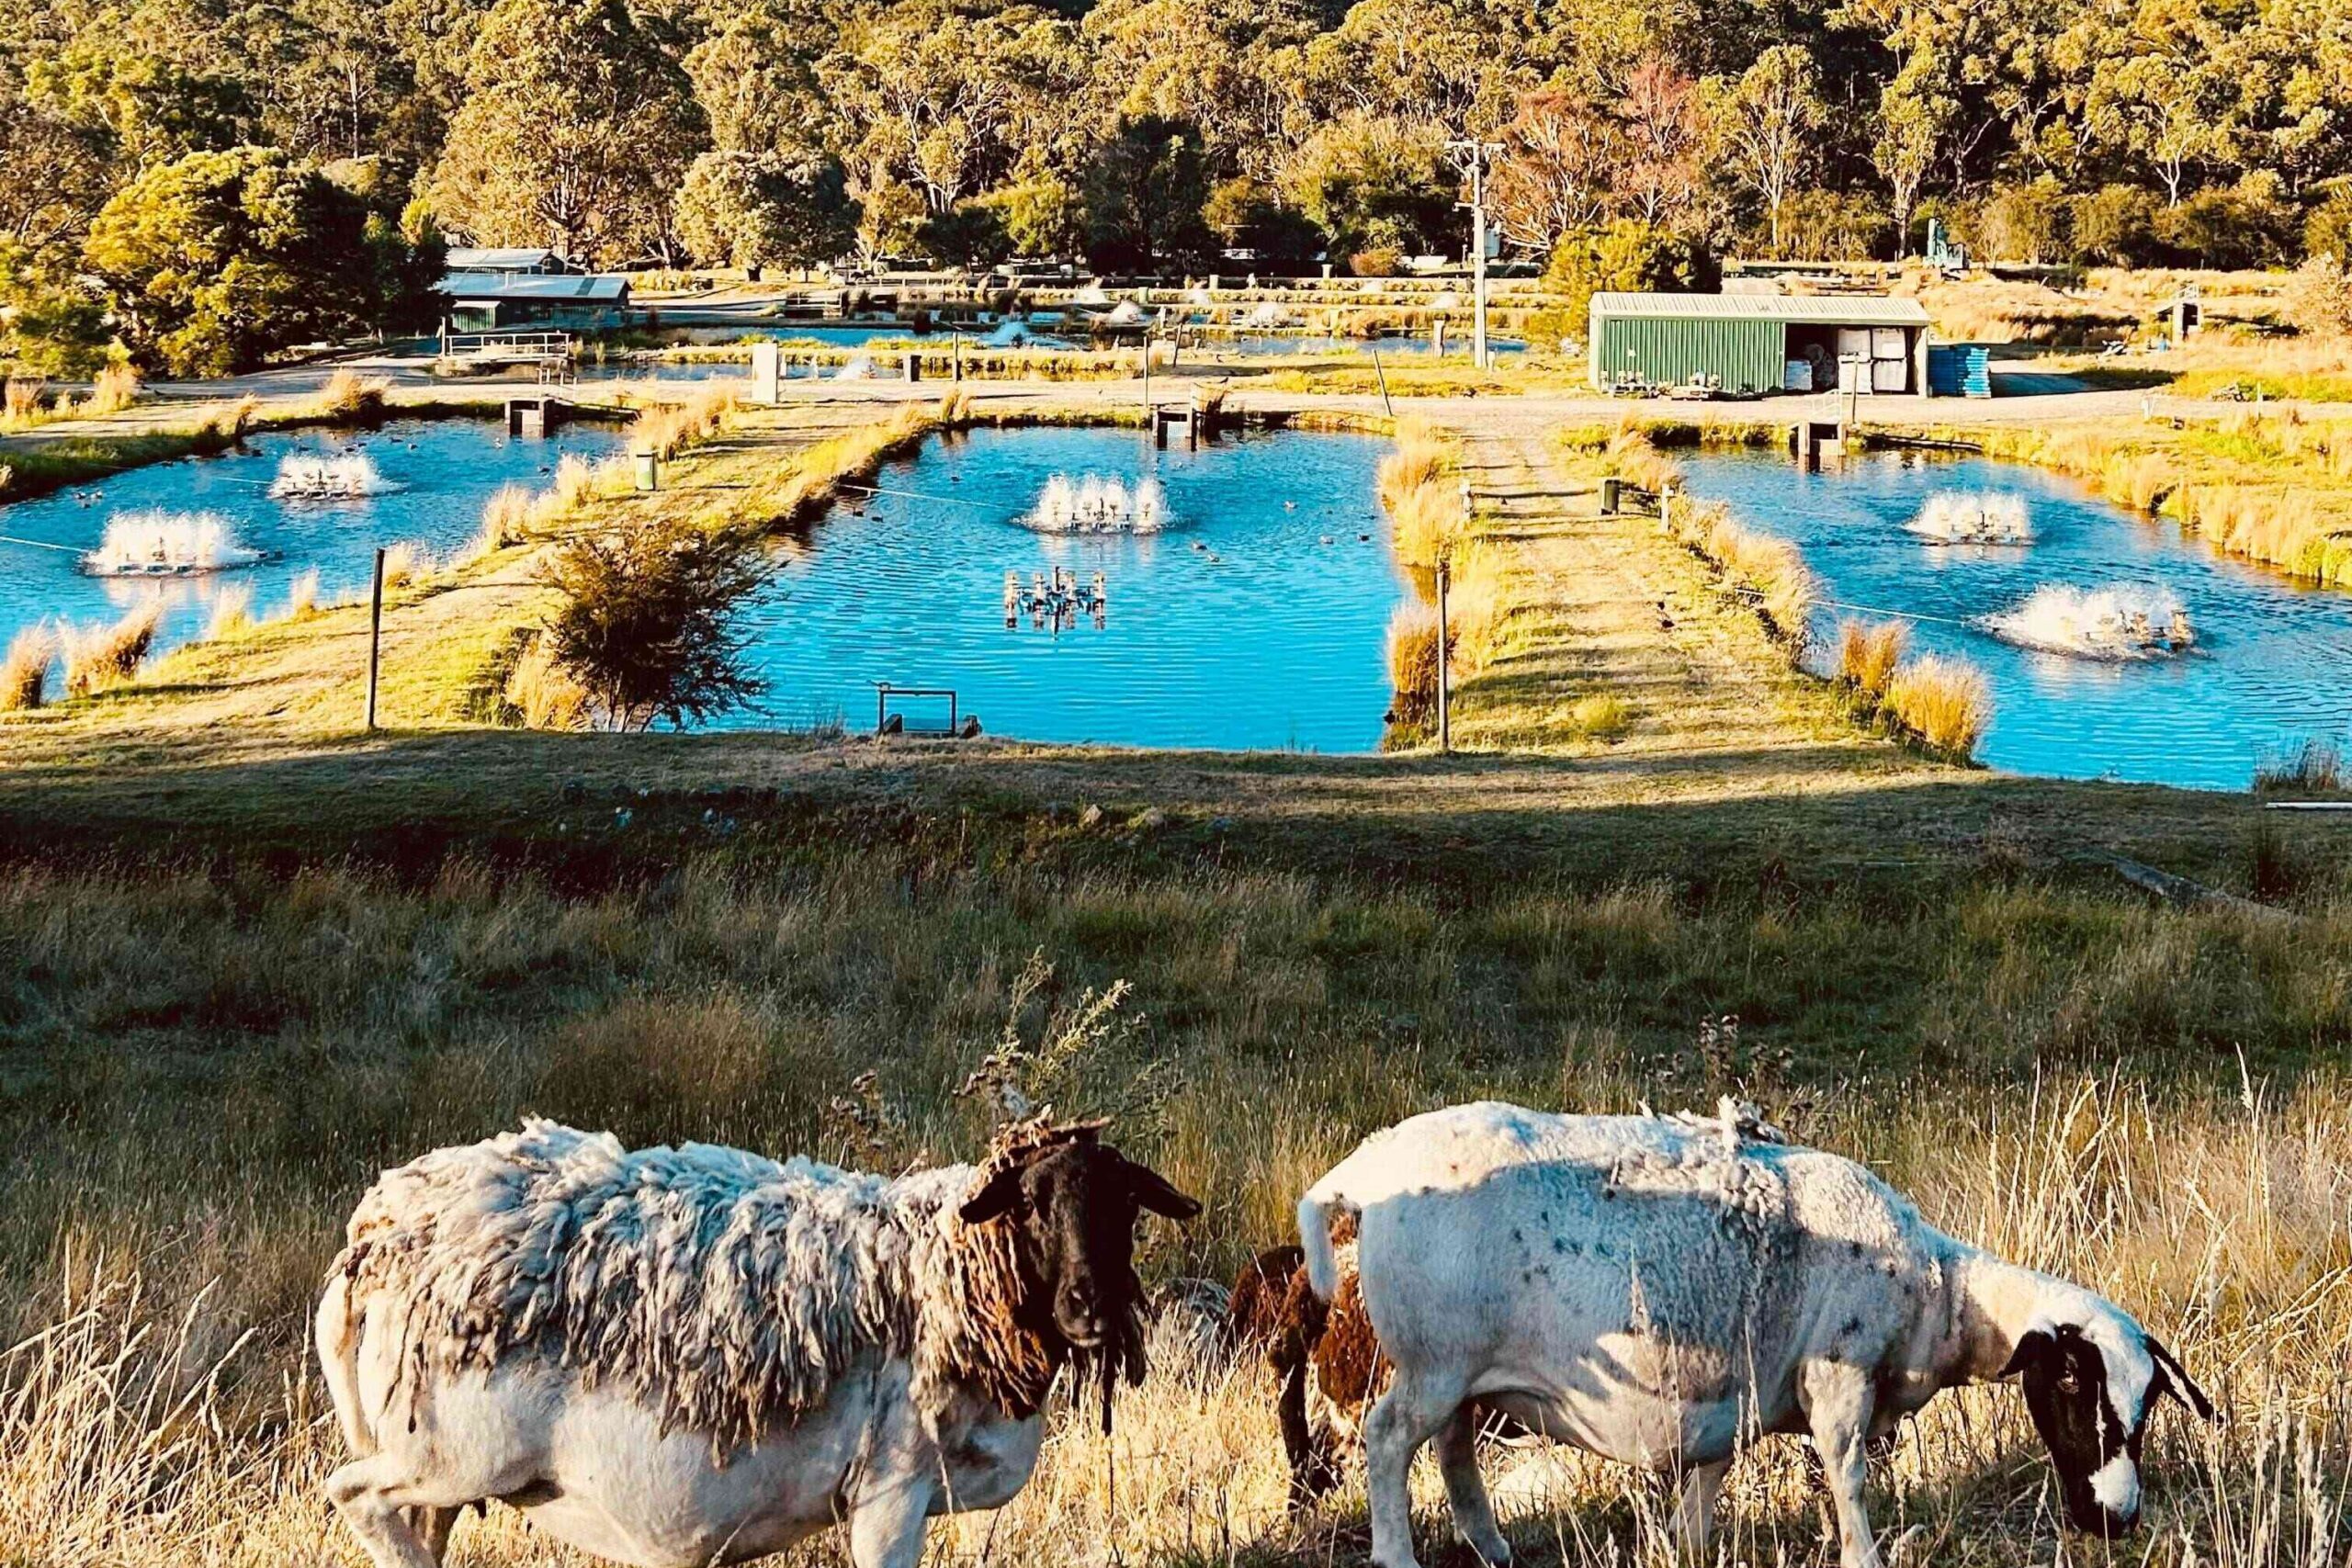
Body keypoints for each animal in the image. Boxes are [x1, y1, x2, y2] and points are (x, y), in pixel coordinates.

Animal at [312, 1114, 1194, 1568]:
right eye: (1034, 1201)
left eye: (1125, 1206)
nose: (1090, 1306)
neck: (941, 1273)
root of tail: (378, 1233)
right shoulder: (889, 1490)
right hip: (453, 1452)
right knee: (352, 1494)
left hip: (444, 1473)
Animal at [1298, 1104, 2211, 1568]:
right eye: (2071, 1383)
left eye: (2148, 1412)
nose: (2116, 1518)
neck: (1941, 1294)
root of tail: (1366, 1169)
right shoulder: (1839, 1378)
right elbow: (1848, 1477)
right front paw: (1864, 1557)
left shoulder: (1733, 1398)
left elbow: (1710, 1477)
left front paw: (1688, 1545)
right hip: (1436, 1358)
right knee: (1389, 1440)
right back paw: (1398, 1556)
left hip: (1459, 1366)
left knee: (1452, 1450)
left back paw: (1493, 1551)